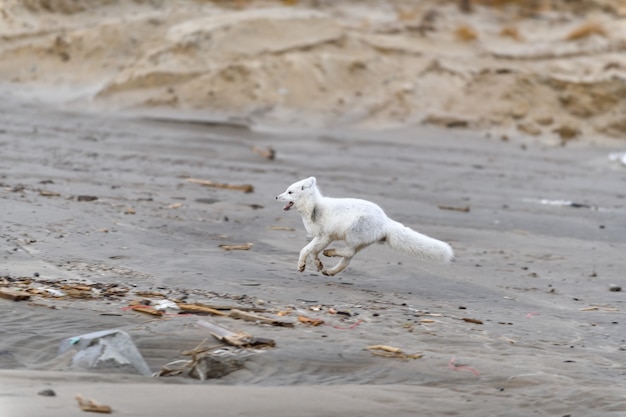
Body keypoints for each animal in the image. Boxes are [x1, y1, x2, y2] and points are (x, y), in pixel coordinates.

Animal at [276, 176, 450, 276]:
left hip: (353, 234)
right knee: (347, 259)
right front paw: (317, 264)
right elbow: (312, 252)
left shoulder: (324, 236)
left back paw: (330, 253)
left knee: (348, 253)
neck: (313, 207)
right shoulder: (324, 237)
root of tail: (386, 220)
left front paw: (302, 265)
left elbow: (305, 250)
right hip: (359, 242)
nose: (276, 196)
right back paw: (330, 271)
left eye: (289, 192)